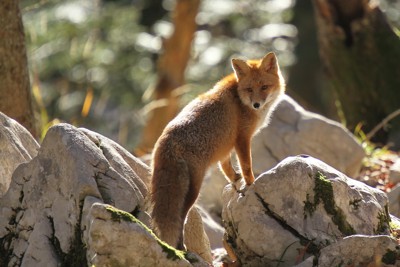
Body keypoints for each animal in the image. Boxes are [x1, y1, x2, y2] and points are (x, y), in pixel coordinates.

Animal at [150, 52, 284, 251]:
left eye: (264, 87)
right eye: (249, 89)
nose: (257, 104)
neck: (239, 96)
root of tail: (166, 140)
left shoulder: (226, 145)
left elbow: (227, 168)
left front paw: (236, 181)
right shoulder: (242, 138)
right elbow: (246, 166)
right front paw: (250, 184)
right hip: (193, 190)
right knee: (181, 217)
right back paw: (181, 247)